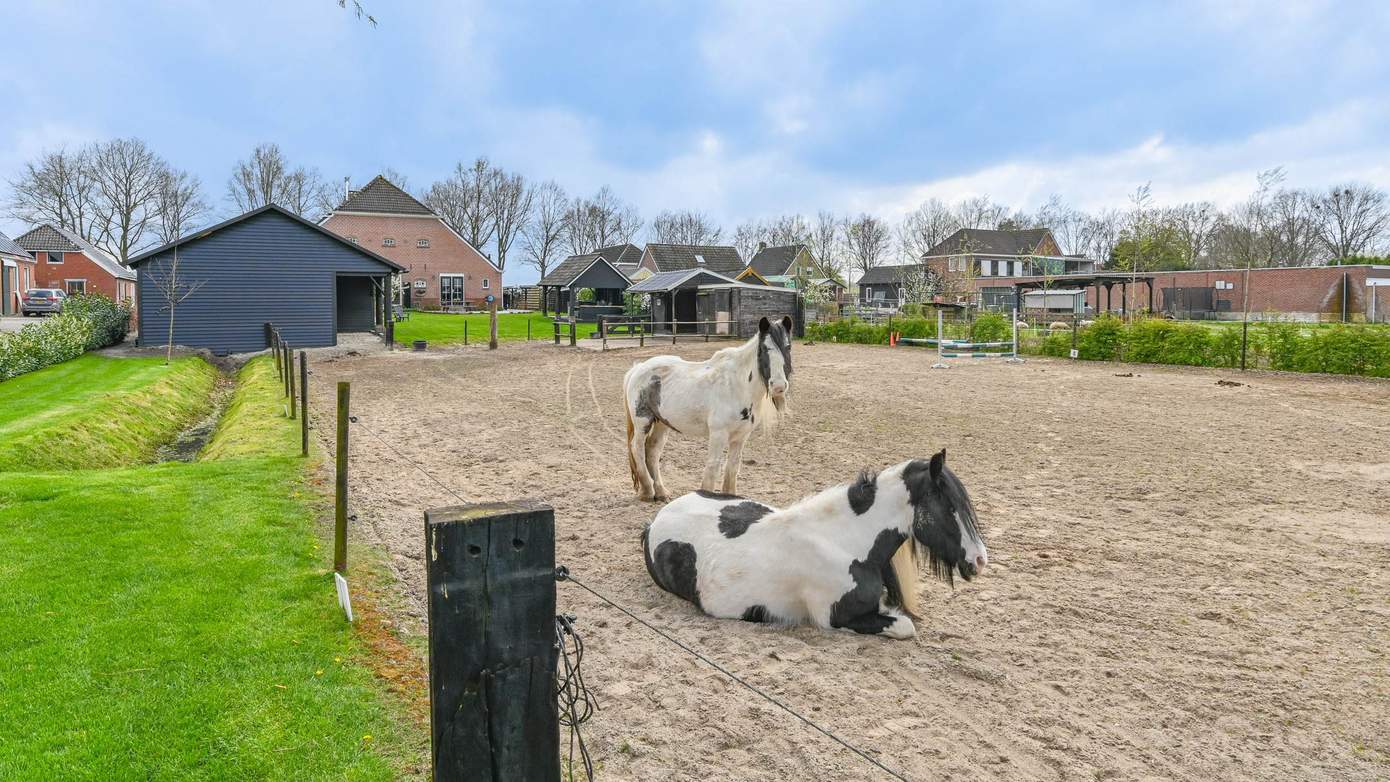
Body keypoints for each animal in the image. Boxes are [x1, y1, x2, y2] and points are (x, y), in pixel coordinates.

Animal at [622, 316, 789, 502]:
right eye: (764, 349)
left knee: (652, 452)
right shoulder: (718, 434)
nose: (779, 386)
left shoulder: (741, 436)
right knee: (637, 449)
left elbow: (732, 468)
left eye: (788, 347)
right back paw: (647, 491)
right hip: (642, 423)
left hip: (661, 423)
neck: (738, 385)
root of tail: (639, 368)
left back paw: (661, 492)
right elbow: (713, 467)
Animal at [642, 450, 989, 638]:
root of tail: (656, 519)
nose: (980, 560)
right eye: (949, 507)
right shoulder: (836, 618)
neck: (845, 541)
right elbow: (905, 626)